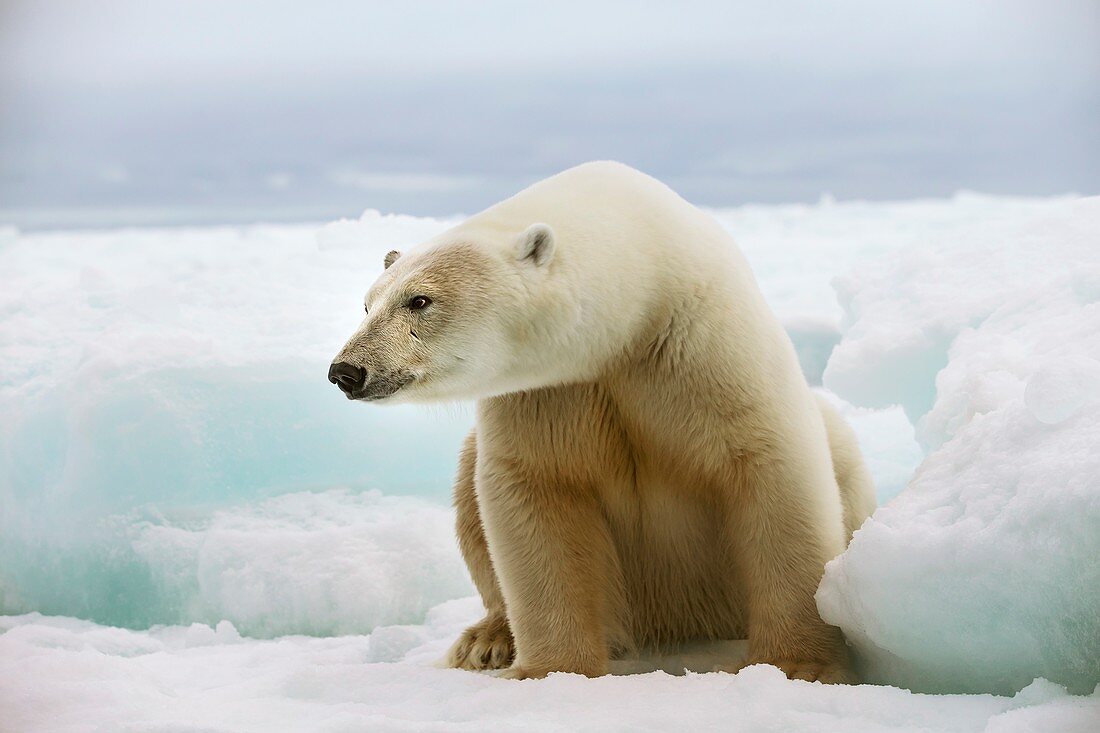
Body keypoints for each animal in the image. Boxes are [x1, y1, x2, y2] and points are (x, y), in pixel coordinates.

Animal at [327, 162, 875, 682]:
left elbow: (769, 463)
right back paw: (486, 640)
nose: (346, 371)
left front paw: (799, 665)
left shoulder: (701, 342)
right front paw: (549, 670)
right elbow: (537, 490)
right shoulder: (548, 392)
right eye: (367, 304)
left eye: (420, 300)